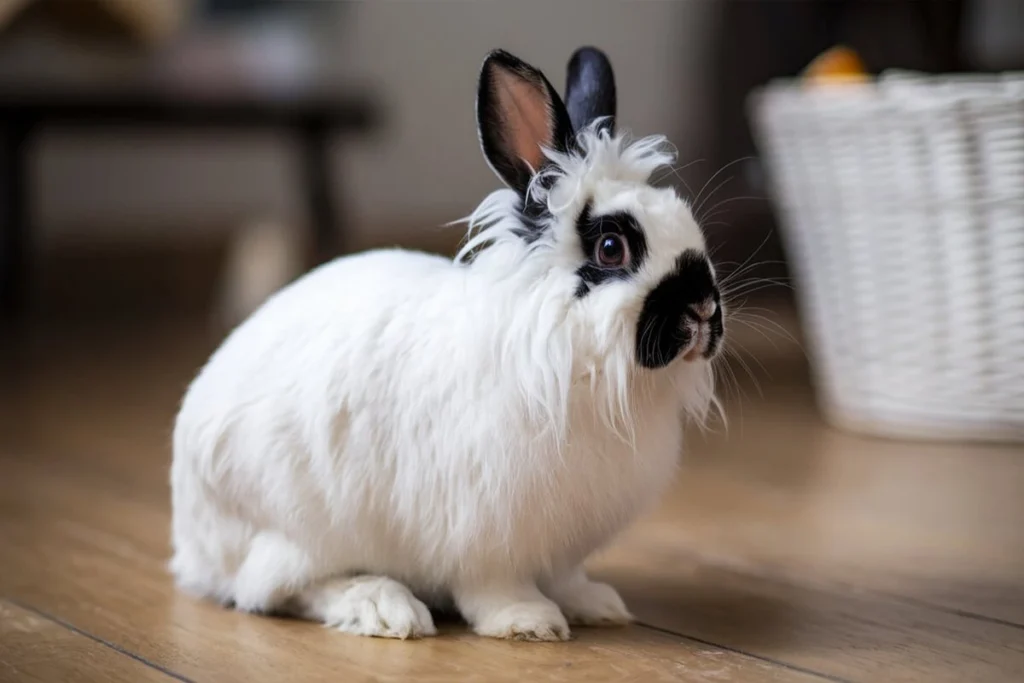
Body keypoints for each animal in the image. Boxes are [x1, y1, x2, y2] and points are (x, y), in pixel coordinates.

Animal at [167, 46, 724, 643]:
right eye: (612, 247)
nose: (704, 309)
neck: (568, 354)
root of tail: (191, 543)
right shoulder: (485, 533)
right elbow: (494, 586)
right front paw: (528, 623)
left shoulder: (559, 547)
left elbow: (565, 577)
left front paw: (594, 604)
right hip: (299, 530)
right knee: (276, 591)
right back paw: (385, 608)